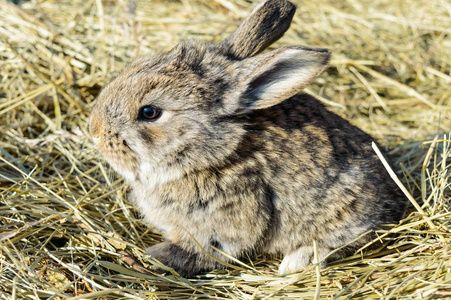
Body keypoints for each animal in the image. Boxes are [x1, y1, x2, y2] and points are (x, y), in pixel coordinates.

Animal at [88, 0, 406, 276]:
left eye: (150, 112)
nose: (95, 132)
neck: (213, 156)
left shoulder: (222, 226)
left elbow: (202, 252)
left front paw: (153, 256)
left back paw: (295, 261)